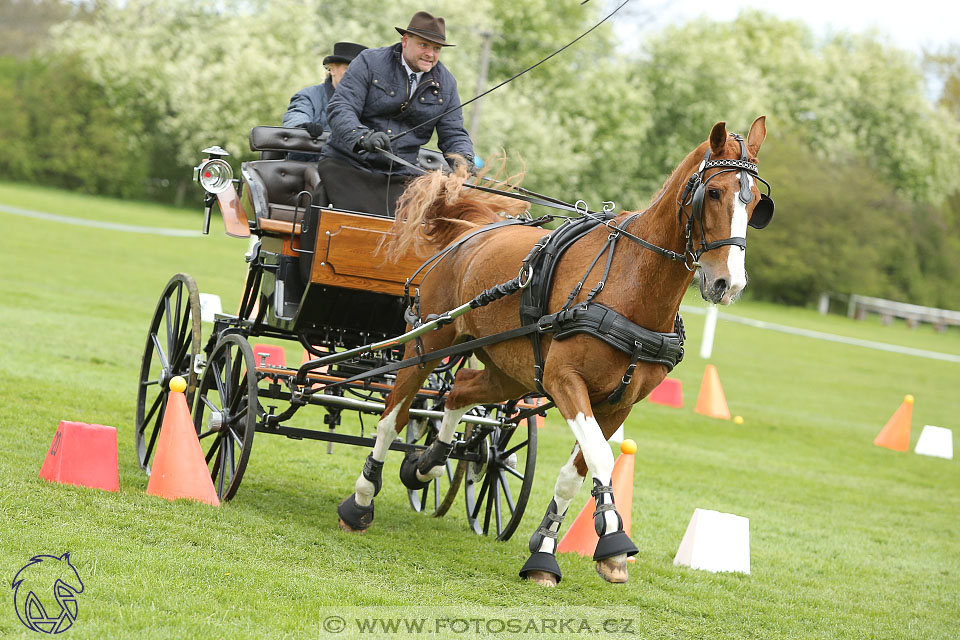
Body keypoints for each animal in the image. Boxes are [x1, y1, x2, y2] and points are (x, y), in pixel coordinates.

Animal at [338, 117, 772, 588]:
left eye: (755, 203)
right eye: (714, 193)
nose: (728, 284)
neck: (628, 284)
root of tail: (471, 230)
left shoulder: (619, 403)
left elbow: (574, 474)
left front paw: (547, 551)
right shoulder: (564, 380)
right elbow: (601, 455)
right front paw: (613, 540)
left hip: (508, 371)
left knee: (459, 391)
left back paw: (428, 463)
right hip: (428, 344)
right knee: (394, 416)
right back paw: (361, 501)